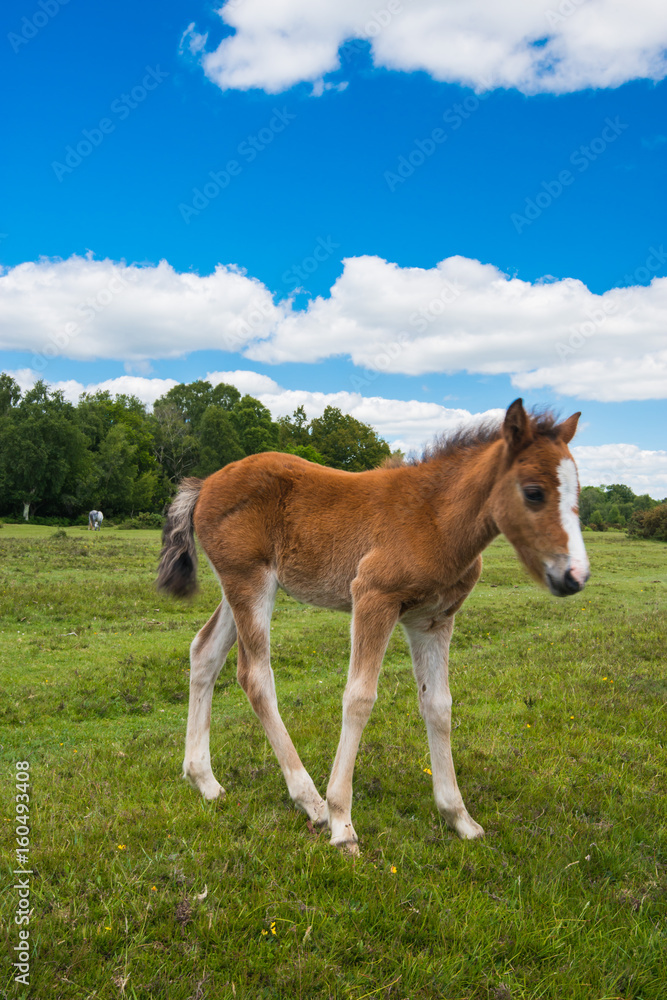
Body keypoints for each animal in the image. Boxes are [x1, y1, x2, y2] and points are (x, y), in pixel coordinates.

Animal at [157, 399, 590, 852]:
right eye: (534, 492)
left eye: (578, 493)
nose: (574, 576)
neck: (435, 516)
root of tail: (205, 483)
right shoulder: (373, 598)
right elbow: (359, 698)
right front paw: (342, 822)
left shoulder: (433, 620)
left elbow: (439, 705)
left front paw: (459, 818)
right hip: (251, 581)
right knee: (255, 675)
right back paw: (310, 800)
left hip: (234, 586)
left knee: (204, 652)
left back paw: (204, 780)